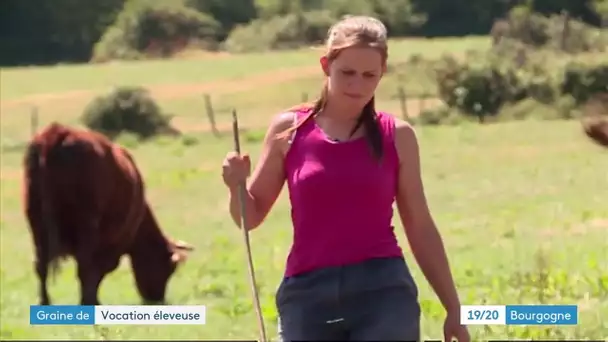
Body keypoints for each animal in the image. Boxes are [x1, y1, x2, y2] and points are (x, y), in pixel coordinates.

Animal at [23, 123, 195, 304]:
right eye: (169, 268)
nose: (157, 299)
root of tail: (58, 131)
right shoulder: (113, 243)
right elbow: (99, 269)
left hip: (35, 221)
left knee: (41, 265)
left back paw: (45, 301)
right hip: (86, 223)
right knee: (83, 266)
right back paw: (86, 301)